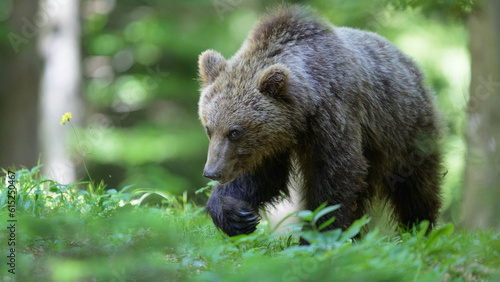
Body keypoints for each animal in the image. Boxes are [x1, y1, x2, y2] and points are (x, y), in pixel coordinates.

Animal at [197, 4, 444, 238]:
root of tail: (413, 64)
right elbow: (263, 177)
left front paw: (316, 236)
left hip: (406, 131)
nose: (212, 172)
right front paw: (236, 214)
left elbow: (338, 178)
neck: (302, 115)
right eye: (209, 129)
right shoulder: (272, 141)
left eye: (235, 131)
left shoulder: (333, 116)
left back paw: (418, 229)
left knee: (416, 190)